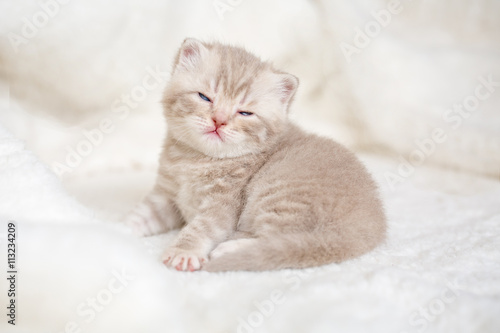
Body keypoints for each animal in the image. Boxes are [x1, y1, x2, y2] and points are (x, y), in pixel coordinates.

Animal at [126, 37, 386, 272]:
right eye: (204, 97)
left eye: (245, 113)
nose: (219, 120)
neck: (194, 161)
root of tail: (368, 226)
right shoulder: (166, 194)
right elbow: (142, 215)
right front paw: (120, 230)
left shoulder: (222, 206)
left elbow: (201, 228)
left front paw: (183, 251)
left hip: (278, 193)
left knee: (279, 241)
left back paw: (229, 249)